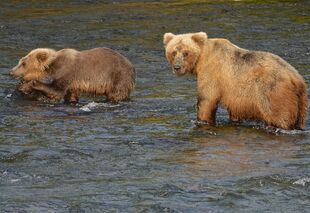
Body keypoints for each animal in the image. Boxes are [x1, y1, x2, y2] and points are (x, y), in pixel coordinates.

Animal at [163, 31, 308, 130]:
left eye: (186, 53)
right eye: (173, 52)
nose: (177, 67)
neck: (201, 59)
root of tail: (296, 78)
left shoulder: (212, 73)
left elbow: (207, 100)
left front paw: (202, 121)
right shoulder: (234, 94)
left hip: (274, 92)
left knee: (279, 117)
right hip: (302, 102)